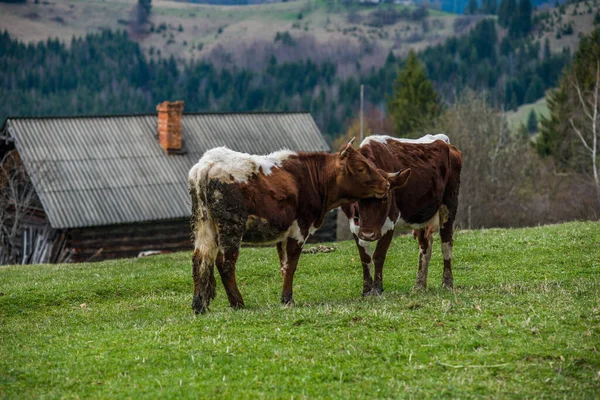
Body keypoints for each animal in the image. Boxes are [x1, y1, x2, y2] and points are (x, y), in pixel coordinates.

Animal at [188, 139, 394, 314]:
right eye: (361, 167)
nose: (386, 183)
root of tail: (208, 163)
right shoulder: (300, 228)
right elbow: (292, 264)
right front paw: (287, 299)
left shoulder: (283, 233)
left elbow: (284, 265)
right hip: (231, 226)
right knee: (225, 263)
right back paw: (237, 302)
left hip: (204, 225)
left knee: (200, 259)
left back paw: (199, 305)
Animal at [340, 136, 462, 296]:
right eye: (359, 198)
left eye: (385, 197)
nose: (368, 234)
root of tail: (447, 143)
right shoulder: (354, 225)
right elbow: (365, 258)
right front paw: (366, 290)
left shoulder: (389, 221)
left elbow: (378, 256)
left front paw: (377, 289)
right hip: (421, 217)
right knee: (425, 247)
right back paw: (419, 285)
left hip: (449, 206)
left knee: (446, 244)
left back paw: (447, 283)